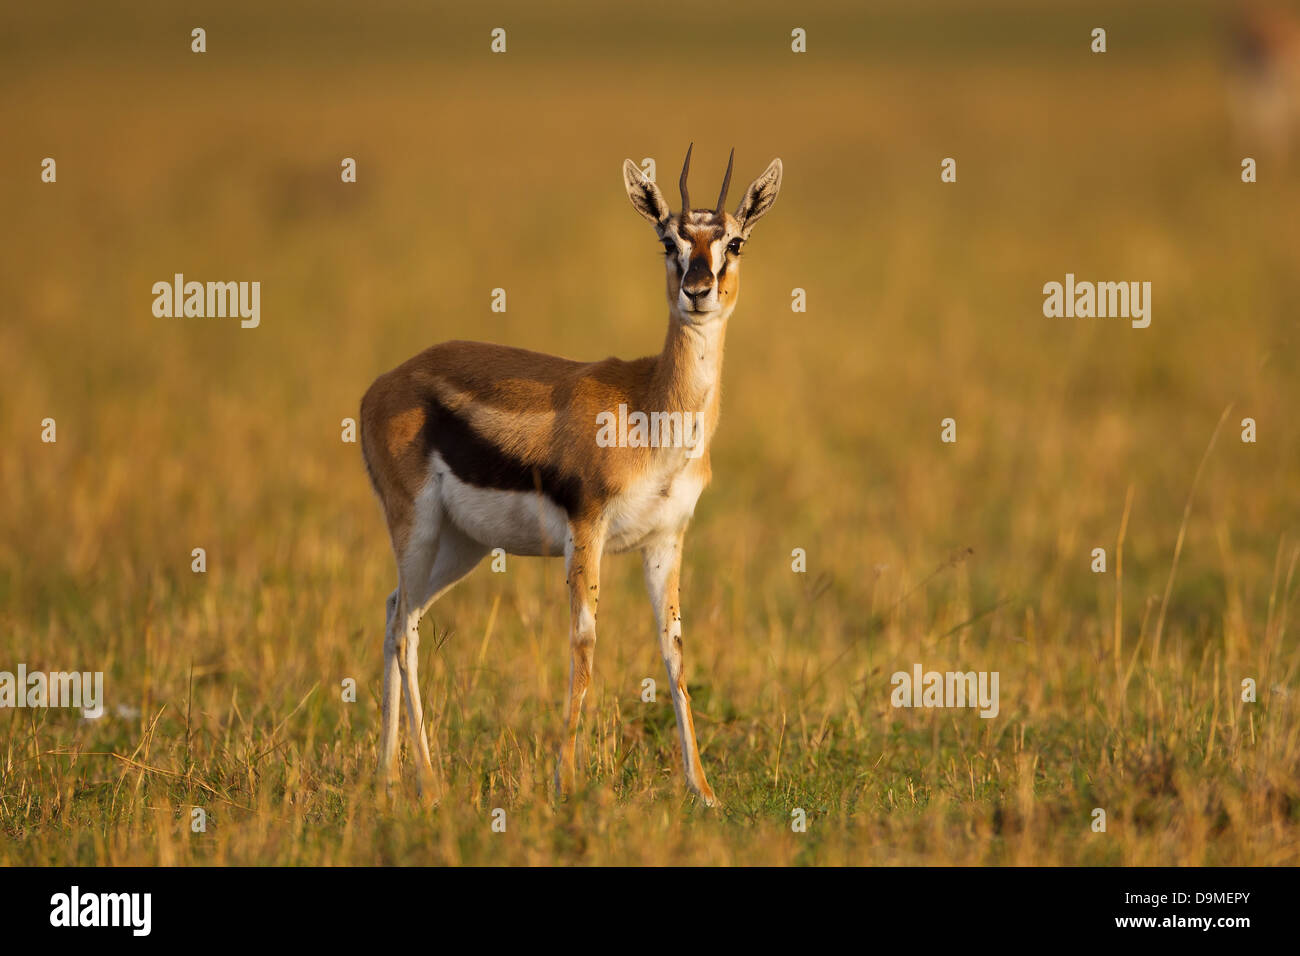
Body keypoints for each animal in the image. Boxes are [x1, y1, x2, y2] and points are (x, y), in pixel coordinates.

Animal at [359, 146, 782, 806]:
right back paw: (428, 781)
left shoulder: (665, 540)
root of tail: (382, 386)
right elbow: (583, 646)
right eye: (668, 240)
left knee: (394, 610)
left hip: (461, 546)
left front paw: (704, 791)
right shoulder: (587, 531)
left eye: (733, 242)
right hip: (418, 526)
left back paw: (385, 776)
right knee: (405, 629)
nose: (698, 291)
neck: (651, 409)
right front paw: (568, 781)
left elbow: (674, 653)